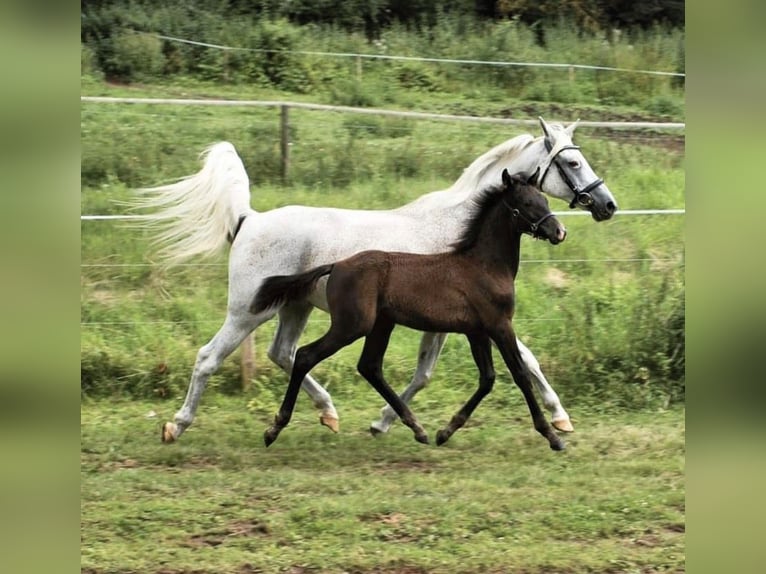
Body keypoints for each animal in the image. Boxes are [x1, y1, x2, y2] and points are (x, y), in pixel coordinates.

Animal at [255, 169, 568, 452]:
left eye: (544, 199)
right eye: (526, 203)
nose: (559, 232)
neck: (484, 266)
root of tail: (337, 265)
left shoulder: (476, 331)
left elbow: (487, 378)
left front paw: (445, 431)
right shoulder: (499, 325)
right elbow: (520, 374)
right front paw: (552, 436)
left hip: (380, 325)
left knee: (369, 366)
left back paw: (417, 428)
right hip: (352, 325)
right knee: (305, 356)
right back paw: (274, 429)